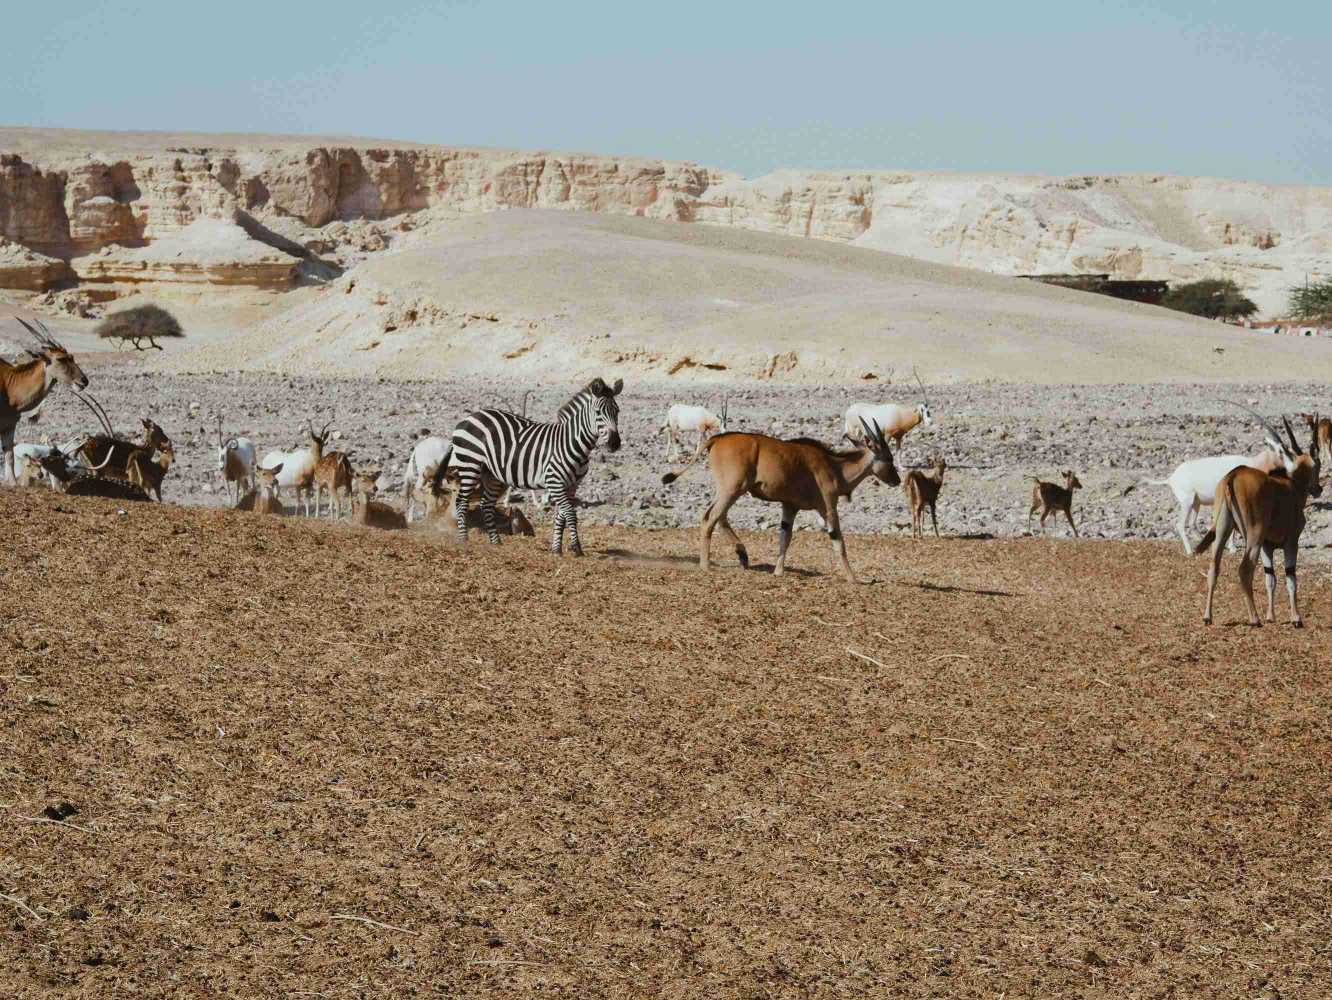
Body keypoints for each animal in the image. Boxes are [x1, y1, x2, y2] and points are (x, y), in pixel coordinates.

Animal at [2, 318, 90, 484]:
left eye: (72, 357)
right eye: (60, 359)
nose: (84, 381)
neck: (10, 385)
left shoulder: (9, 425)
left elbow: (9, 456)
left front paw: (13, 484)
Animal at [662, 417, 900, 582]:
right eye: (889, 458)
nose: (896, 480)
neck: (835, 467)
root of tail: (717, 438)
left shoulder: (790, 507)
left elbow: (785, 537)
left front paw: (778, 572)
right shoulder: (828, 507)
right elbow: (838, 541)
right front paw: (853, 578)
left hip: (728, 491)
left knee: (718, 517)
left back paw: (742, 555)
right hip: (732, 490)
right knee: (710, 519)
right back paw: (706, 565)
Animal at [1196, 410, 1323, 627]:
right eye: (1318, 465)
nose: (1318, 489)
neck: (1292, 486)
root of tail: (1232, 476)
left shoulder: (1267, 546)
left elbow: (1270, 578)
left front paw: (1271, 616)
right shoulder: (1291, 542)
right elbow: (1291, 578)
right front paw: (1296, 618)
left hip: (1222, 529)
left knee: (1214, 567)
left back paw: (1207, 616)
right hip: (1253, 535)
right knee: (1244, 569)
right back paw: (1254, 618)